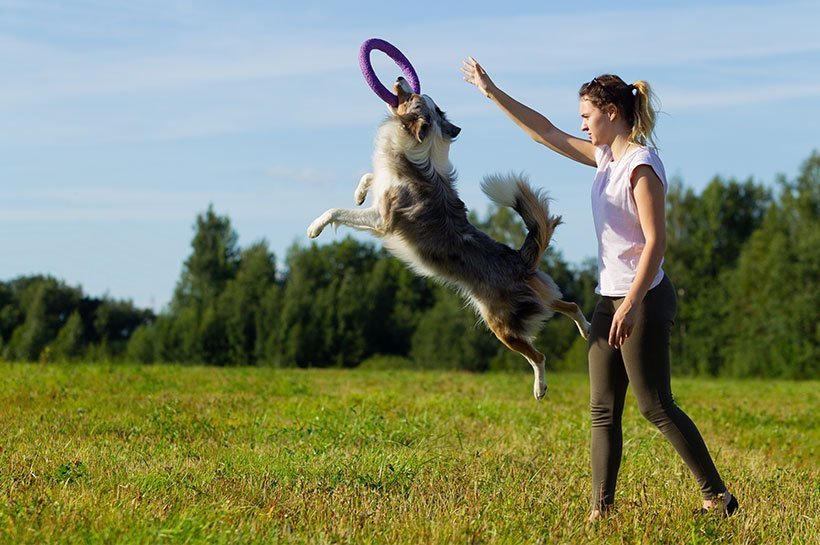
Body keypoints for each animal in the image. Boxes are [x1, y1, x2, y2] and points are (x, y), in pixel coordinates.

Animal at [310, 76, 588, 398]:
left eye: (411, 97)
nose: (400, 79)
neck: (422, 149)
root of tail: (521, 260)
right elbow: (370, 177)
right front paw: (359, 192)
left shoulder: (382, 218)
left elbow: (337, 211)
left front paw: (315, 226)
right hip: (538, 297)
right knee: (569, 304)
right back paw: (586, 329)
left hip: (502, 323)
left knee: (539, 356)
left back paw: (540, 388)